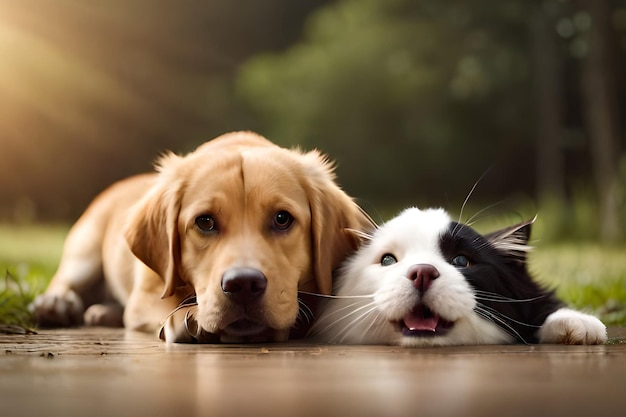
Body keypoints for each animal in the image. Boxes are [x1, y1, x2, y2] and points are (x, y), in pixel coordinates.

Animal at [33, 132, 370, 342]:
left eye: (282, 218)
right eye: (205, 222)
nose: (243, 285)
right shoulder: (148, 293)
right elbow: (164, 303)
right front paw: (186, 317)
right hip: (84, 251)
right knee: (65, 279)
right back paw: (56, 304)